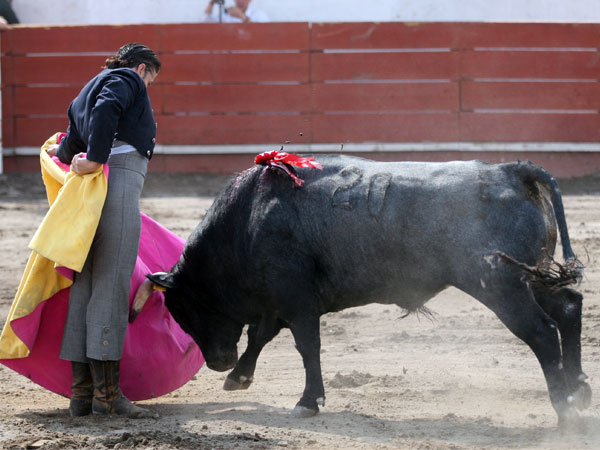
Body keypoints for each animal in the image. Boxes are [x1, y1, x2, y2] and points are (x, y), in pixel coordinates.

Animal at [132, 156, 592, 428]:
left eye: (186, 309)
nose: (216, 362)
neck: (247, 220)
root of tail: (510, 170)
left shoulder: (293, 296)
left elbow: (306, 344)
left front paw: (307, 401)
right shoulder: (280, 299)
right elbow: (263, 335)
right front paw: (239, 377)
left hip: (502, 286)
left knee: (542, 332)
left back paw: (564, 411)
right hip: (531, 277)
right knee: (569, 308)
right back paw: (579, 390)